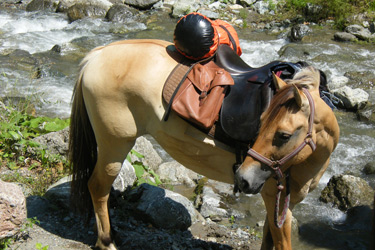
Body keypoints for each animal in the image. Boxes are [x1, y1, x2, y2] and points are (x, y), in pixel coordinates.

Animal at [68, 39, 340, 250]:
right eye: (260, 124)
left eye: (283, 135)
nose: (243, 179)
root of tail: (97, 55)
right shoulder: (274, 195)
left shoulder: (282, 203)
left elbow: (268, 239)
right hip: (114, 143)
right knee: (98, 187)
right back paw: (106, 242)